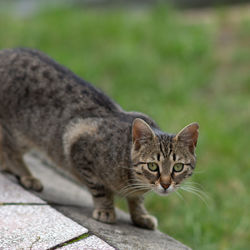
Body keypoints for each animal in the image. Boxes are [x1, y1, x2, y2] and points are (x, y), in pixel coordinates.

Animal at [0, 47, 199, 229]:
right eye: (152, 166)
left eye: (178, 167)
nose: (165, 184)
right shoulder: (79, 145)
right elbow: (100, 189)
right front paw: (105, 210)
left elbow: (137, 199)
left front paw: (140, 215)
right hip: (17, 132)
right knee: (11, 152)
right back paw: (27, 176)